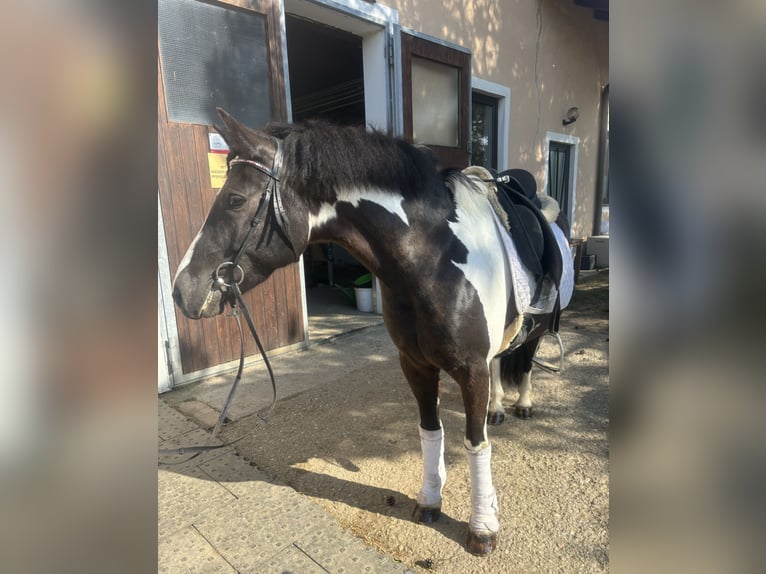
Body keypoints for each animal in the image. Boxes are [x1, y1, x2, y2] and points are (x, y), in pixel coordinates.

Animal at [171, 109, 572, 560]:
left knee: (526, 363)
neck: (433, 260)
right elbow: (430, 431)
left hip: (536, 330)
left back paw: (522, 405)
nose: (182, 291)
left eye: (236, 200)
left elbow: (475, 444)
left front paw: (483, 527)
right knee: (504, 360)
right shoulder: (416, 365)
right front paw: (430, 501)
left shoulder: (471, 371)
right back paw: (499, 408)